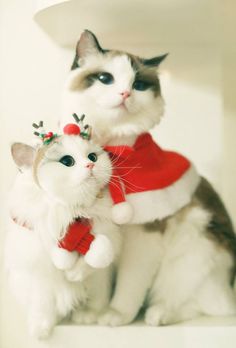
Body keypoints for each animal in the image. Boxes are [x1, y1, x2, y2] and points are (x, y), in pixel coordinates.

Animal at [60, 30, 236, 326]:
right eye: (105, 78)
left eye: (139, 84)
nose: (125, 93)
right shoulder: (99, 232)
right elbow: (99, 282)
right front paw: (93, 313)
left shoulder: (144, 237)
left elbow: (129, 287)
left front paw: (115, 315)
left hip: (195, 243)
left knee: (200, 305)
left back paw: (159, 314)